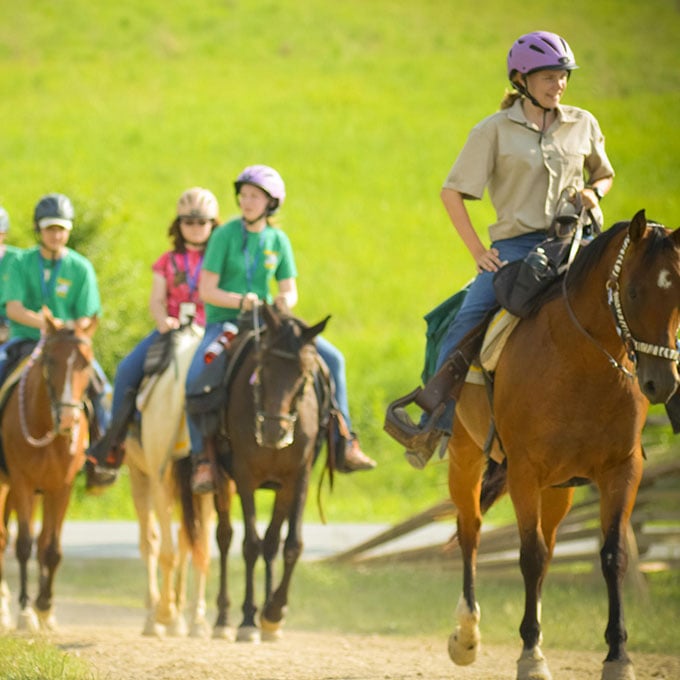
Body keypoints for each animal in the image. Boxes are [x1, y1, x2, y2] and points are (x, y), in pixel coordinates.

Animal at [0, 310, 97, 636]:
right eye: (50, 361)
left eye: (86, 363)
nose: (67, 419)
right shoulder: (22, 482)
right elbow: (24, 545)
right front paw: (26, 611)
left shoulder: (61, 487)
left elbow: (51, 547)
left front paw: (45, 607)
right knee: (5, 538)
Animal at [181, 302, 330, 644]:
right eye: (262, 366)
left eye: (303, 374)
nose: (275, 431)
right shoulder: (245, 477)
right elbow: (250, 544)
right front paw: (248, 619)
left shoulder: (297, 479)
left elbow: (290, 545)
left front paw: (273, 613)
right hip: (223, 481)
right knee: (224, 538)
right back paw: (224, 619)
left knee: (271, 544)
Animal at [446, 209, 680, 680]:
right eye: (632, 291)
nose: (661, 383)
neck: (581, 361)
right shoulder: (523, 471)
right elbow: (529, 555)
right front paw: (531, 656)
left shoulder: (623, 469)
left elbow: (612, 555)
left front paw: (618, 656)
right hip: (466, 457)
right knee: (471, 529)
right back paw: (467, 635)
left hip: (558, 489)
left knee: (550, 547)